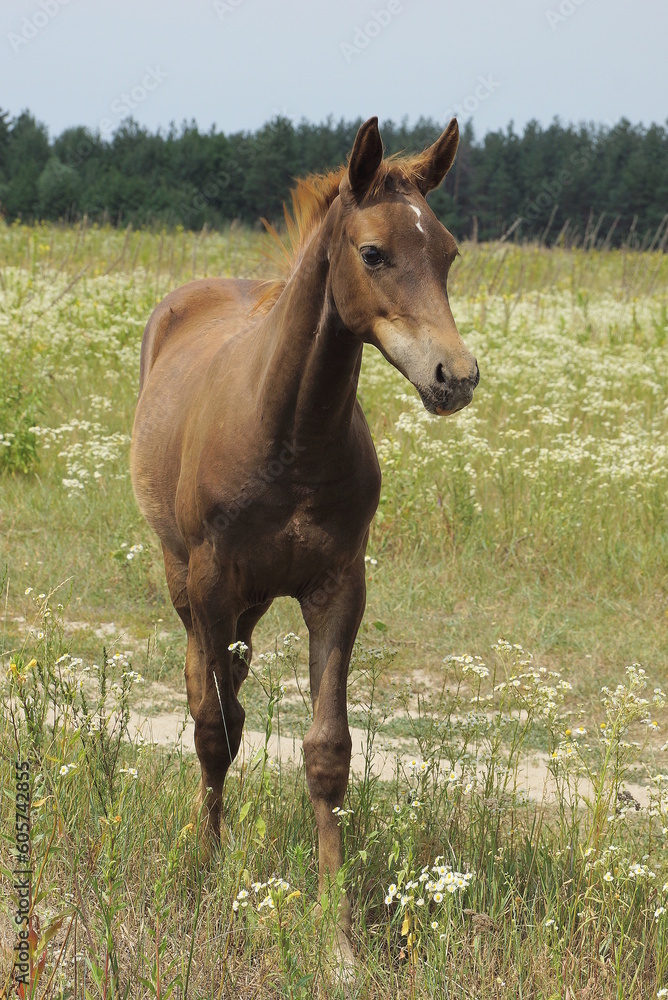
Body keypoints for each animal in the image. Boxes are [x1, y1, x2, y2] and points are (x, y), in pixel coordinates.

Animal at [130, 115, 479, 959]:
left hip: (252, 602)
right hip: (187, 583)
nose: (456, 376)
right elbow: (212, 729)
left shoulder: (338, 587)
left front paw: (337, 939)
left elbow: (327, 753)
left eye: (448, 252)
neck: (287, 428)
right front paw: (206, 873)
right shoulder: (213, 583)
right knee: (206, 697)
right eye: (374, 252)